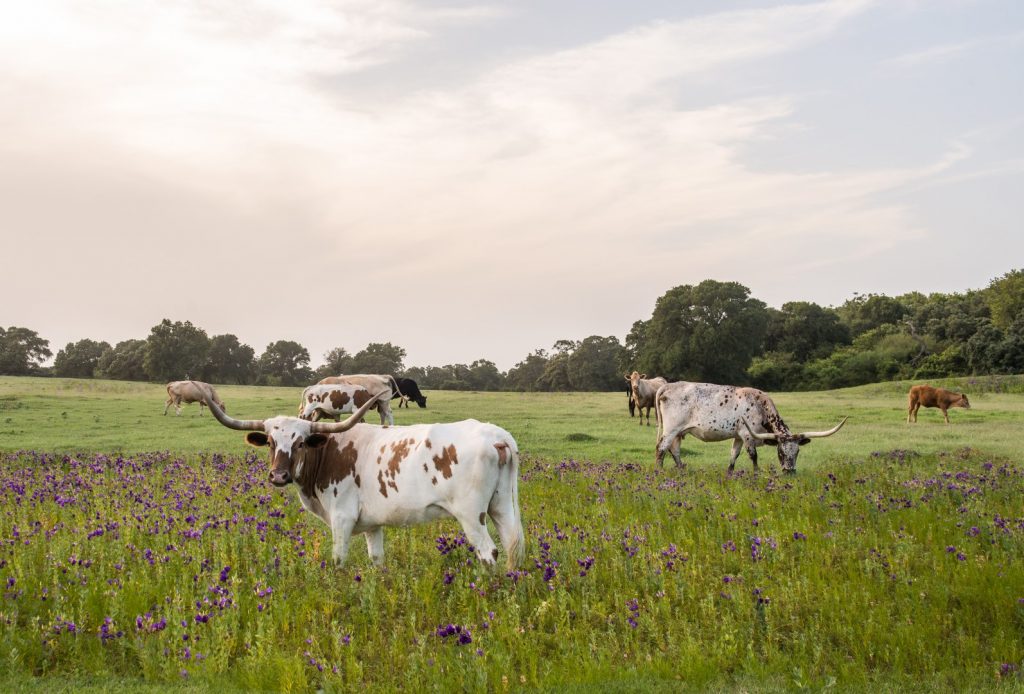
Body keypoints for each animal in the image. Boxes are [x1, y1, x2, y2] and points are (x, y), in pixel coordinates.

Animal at [202, 395, 524, 573]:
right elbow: (377, 559)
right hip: (502, 506)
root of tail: (496, 436)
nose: (278, 476)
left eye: (301, 442)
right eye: (270, 441)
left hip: (471, 515)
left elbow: (338, 559)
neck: (329, 450)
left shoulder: (341, 518)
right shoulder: (373, 524)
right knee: (513, 545)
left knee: (489, 552)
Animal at [655, 382, 847, 474]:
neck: (760, 406)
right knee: (661, 449)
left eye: (797, 452)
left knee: (675, 451)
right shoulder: (747, 435)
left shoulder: (738, 436)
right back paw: (659, 472)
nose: (789, 472)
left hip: (679, 432)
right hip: (671, 429)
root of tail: (667, 386)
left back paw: (682, 470)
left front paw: (730, 473)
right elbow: (753, 456)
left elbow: (733, 455)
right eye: (780, 452)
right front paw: (756, 474)